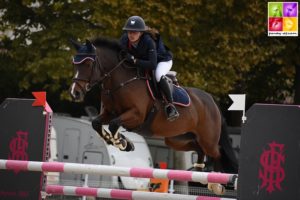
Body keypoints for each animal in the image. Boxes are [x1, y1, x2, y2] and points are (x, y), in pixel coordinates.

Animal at [69, 38, 238, 194]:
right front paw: (122, 142)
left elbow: (114, 124)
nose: (75, 93)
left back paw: (217, 184)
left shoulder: (136, 115)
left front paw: (121, 142)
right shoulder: (108, 113)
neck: (120, 82)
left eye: (88, 64)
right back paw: (201, 173)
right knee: (199, 148)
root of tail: (211, 100)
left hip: (207, 138)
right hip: (176, 139)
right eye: (75, 64)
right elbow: (96, 123)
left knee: (217, 152)